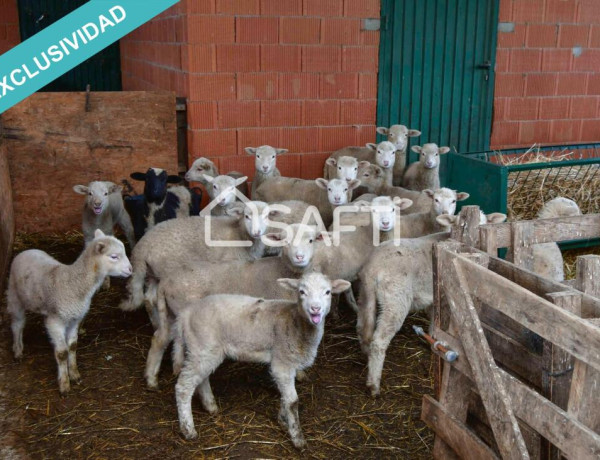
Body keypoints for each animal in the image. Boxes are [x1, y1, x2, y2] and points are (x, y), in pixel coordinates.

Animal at [7, 230, 131, 396]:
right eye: (114, 256)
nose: (131, 269)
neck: (74, 283)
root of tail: (26, 251)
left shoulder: (74, 319)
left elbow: (72, 346)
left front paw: (74, 374)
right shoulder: (56, 321)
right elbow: (62, 353)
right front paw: (64, 384)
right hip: (14, 295)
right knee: (17, 325)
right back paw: (18, 350)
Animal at [172, 272, 352, 448]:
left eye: (328, 292)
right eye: (301, 292)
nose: (315, 309)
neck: (296, 323)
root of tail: (185, 314)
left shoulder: (289, 363)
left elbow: (285, 397)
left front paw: (283, 420)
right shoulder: (282, 362)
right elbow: (292, 401)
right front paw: (297, 438)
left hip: (204, 351)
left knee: (201, 378)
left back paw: (210, 406)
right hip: (202, 347)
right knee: (184, 387)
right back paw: (188, 430)